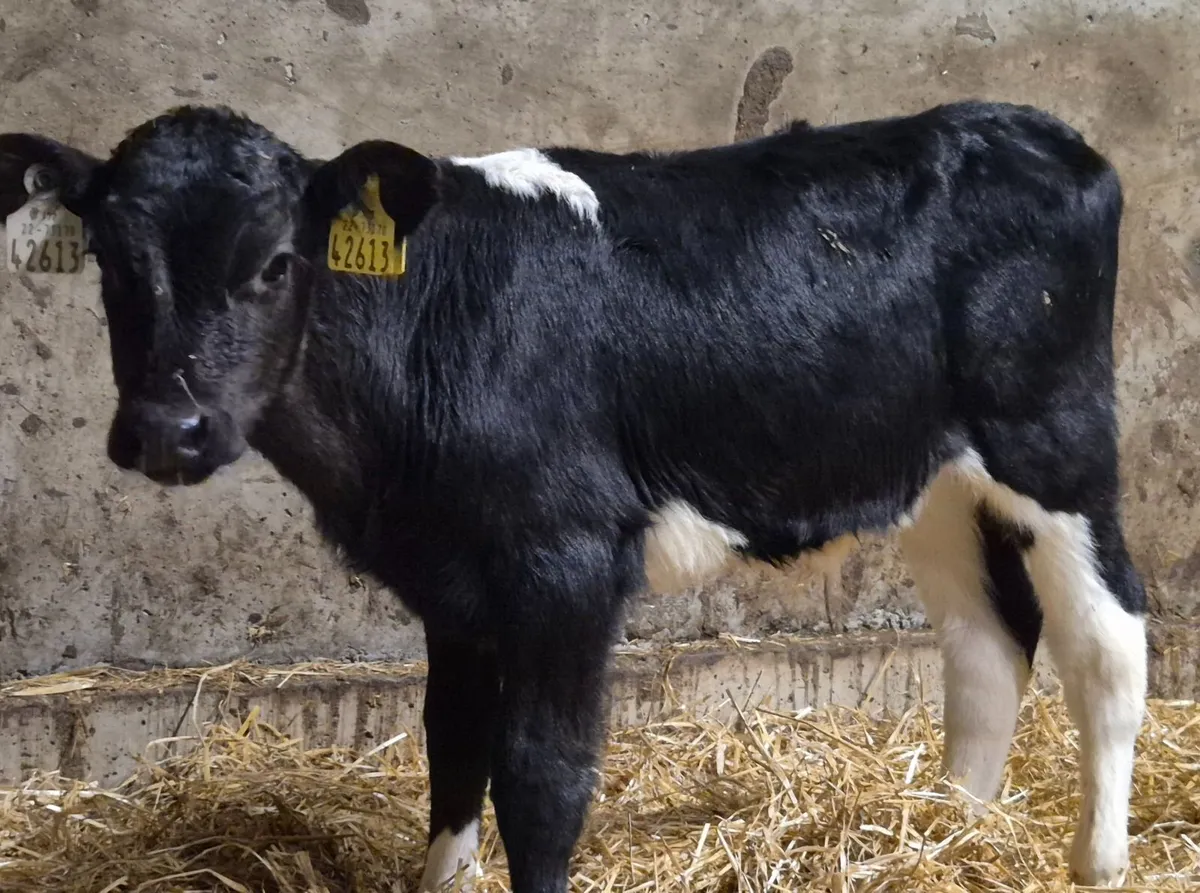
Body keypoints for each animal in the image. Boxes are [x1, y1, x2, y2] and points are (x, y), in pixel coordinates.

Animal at [0, 99, 1146, 891]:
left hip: (1055, 440)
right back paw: (949, 827)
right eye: (111, 261)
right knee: (985, 641)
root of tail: (1027, 126)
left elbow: (542, 774)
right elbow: (451, 744)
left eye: (278, 261)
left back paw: (1095, 860)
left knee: (1107, 639)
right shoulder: (450, 577)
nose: (169, 429)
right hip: (931, 473)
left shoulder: (567, 557)